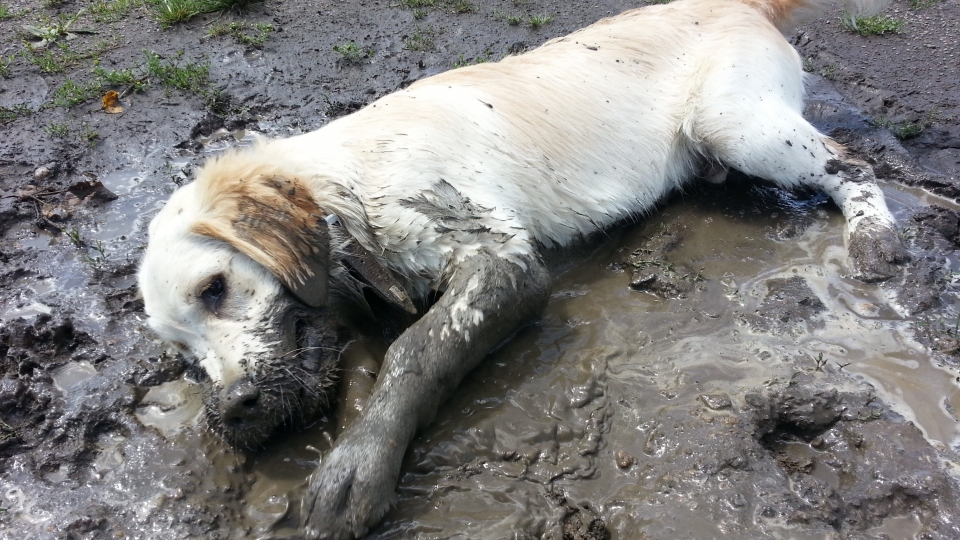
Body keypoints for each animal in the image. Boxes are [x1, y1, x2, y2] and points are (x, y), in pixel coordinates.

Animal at [135, 0, 908, 536]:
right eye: (183, 358)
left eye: (215, 288)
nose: (233, 410)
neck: (354, 181)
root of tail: (745, 5)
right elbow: (359, 360)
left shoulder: (500, 258)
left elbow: (415, 352)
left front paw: (359, 468)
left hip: (736, 120)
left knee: (853, 163)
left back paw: (875, 239)